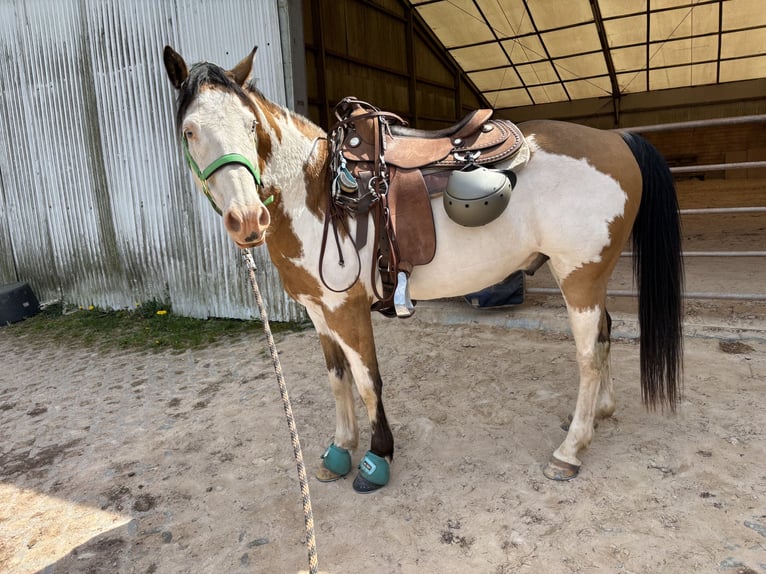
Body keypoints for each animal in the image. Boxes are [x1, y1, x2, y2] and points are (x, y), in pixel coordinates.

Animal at [162, 45, 683, 493]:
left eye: (251, 126)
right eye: (189, 130)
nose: (248, 219)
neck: (314, 191)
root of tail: (615, 138)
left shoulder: (346, 309)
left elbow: (367, 380)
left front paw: (376, 459)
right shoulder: (318, 311)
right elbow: (337, 378)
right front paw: (339, 451)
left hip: (579, 276)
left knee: (588, 357)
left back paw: (570, 451)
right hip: (589, 275)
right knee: (605, 333)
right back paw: (599, 415)